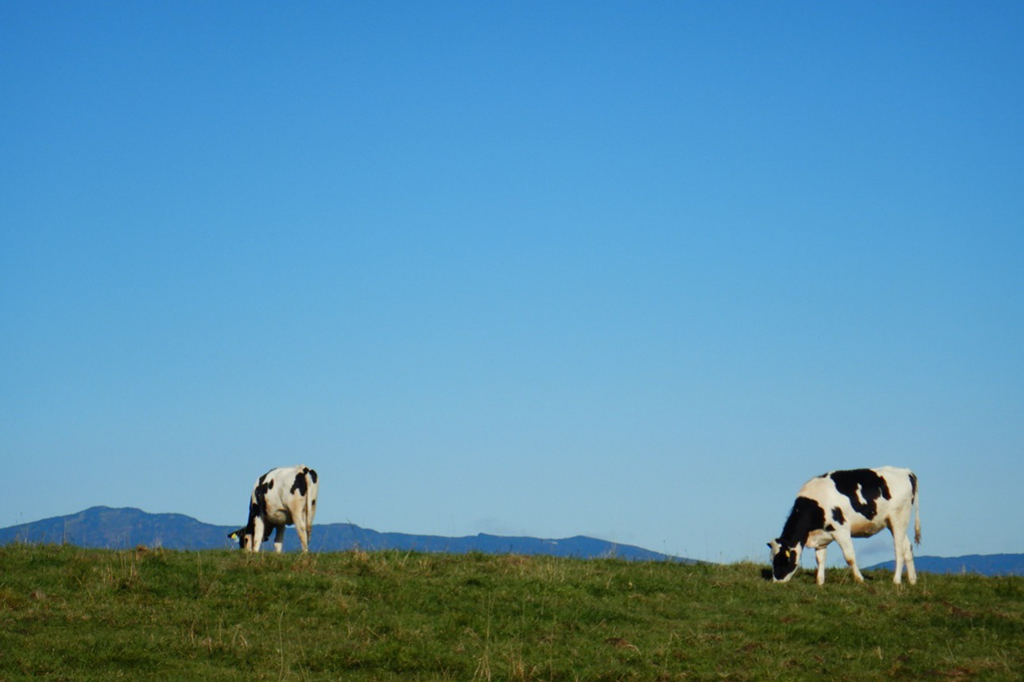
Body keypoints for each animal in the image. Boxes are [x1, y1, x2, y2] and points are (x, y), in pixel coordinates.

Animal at [770, 466, 921, 585]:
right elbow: (820, 558)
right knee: (907, 547)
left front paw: (860, 579)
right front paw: (820, 582)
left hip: (898, 518)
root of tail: (906, 471)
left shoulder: (841, 529)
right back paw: (912, 580)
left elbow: (849, 557)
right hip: (894, 523)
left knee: (899, 549)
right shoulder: (822, 537)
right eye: (772, 560)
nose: (777, 582)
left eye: (783, 559)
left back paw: (896, 581)